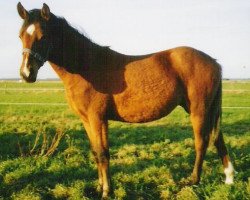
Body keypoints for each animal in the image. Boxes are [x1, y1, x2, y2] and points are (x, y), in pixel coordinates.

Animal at [17, 2, 234, 199]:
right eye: (21, 36)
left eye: (43, 36)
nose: (26, 74)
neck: (87, 67)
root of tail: (214, 62)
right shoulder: (87, 120)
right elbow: (96, 152)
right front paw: (99, 187)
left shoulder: (98, 119)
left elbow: (103, 153)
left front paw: (106, 191)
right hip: (205, 109)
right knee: (217, 138)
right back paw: (229, 178)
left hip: (199, 110)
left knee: (202, 142)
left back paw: (193, 180)